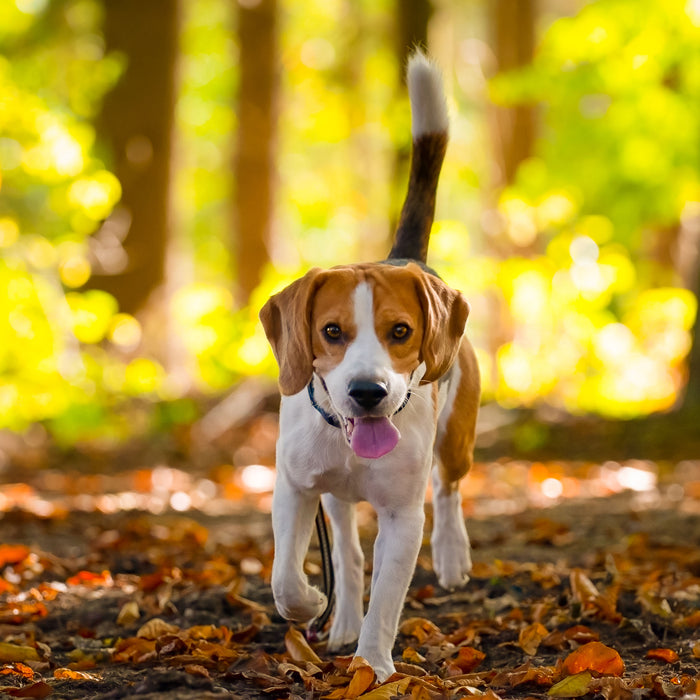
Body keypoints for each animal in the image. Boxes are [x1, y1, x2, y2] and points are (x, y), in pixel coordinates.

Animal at [258, 52, 482, 680]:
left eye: (400, 332)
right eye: (332, 332)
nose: (367, 391)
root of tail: (404, 258)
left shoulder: (402, 515)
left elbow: (388, 596)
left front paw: (372, 666)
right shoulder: (294, 488)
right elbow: (285, 576)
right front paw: (311, 604)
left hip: (457, 434)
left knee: (450, 486)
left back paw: (451, 556)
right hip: (334, 498)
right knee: (348, 549)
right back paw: (340, 621)